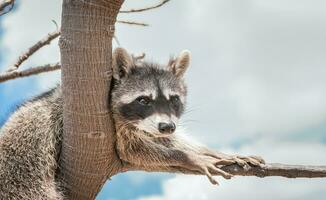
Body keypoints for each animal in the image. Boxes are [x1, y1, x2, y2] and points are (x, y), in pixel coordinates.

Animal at [0, 47, 264, 199]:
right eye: (144, 100)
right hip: (23, 169)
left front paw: (212, 152)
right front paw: (188, 157)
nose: (167, 127)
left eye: (174, 99)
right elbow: (133, 150)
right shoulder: (112, 125)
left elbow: (164, 139)